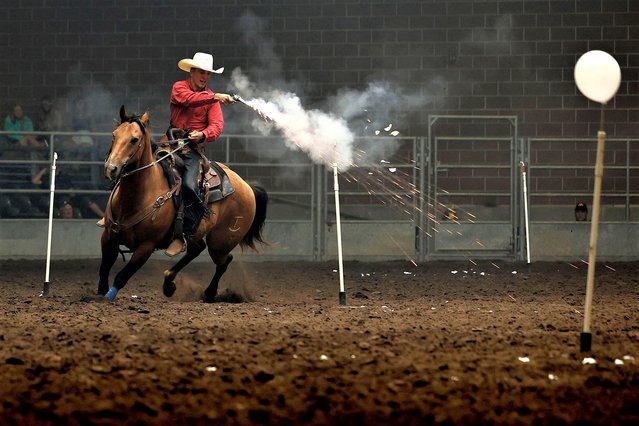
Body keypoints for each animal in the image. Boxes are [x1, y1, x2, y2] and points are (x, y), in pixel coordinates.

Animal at [97, 106, 268, 302]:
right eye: (114, 135)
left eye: (134, 140)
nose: (111, 168)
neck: (138, 196)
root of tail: (247, 186)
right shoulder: (108, 236)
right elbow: (104, 268)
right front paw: (101, 291)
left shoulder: (146, 246)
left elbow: (123, 275)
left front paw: (109, 296)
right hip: (197, 234)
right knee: (197, 250)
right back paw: (169, 284)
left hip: (221, 241)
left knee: (224, 261)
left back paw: (209, 293)